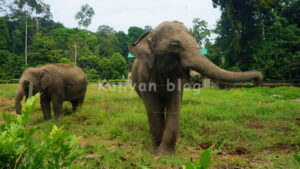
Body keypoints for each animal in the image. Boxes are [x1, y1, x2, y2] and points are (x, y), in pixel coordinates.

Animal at [129, 21, 262, 155]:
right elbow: (153, 108)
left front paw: (165, 154)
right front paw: (156, 152)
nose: (259, 77)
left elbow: (174, 107)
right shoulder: (144, 77)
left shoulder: (175, 81)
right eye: (175, 45)